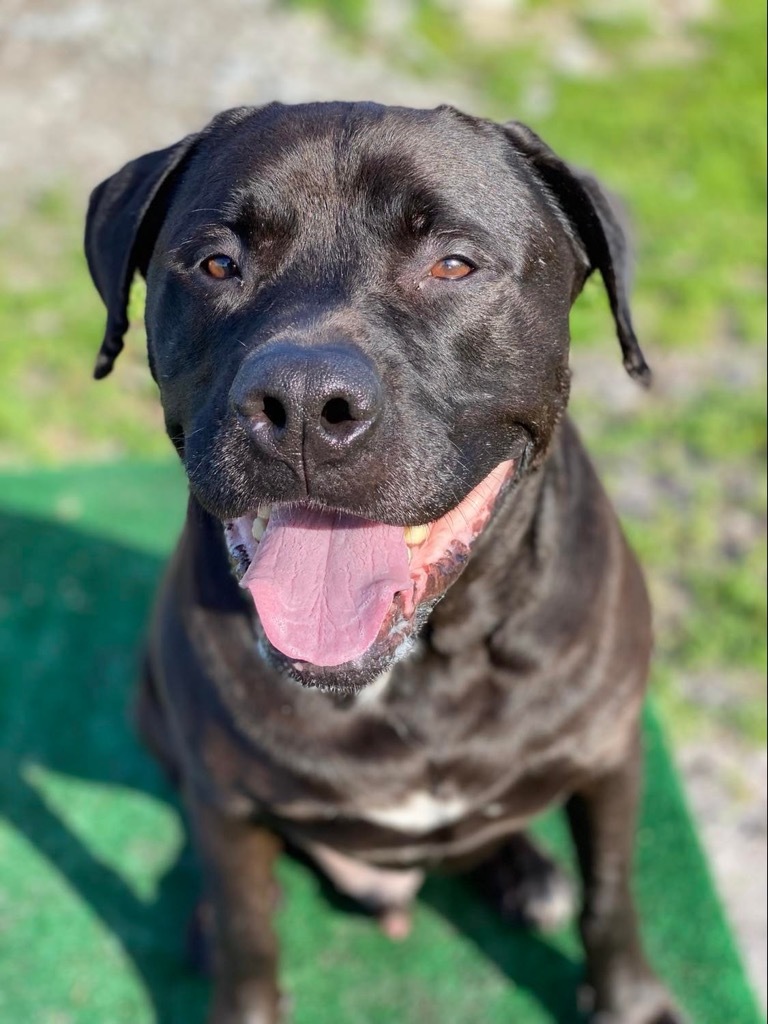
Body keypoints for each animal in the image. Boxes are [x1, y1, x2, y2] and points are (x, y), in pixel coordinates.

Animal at [85, 97, 679, 1024]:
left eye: (454, 264)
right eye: (218, 262)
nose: (300, 403)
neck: (420, 666)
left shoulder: (611, 754)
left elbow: (611, 896)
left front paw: (630, 1001)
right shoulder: (226, 798)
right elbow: (249, 938)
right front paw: (232, 943)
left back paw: (523, 869)